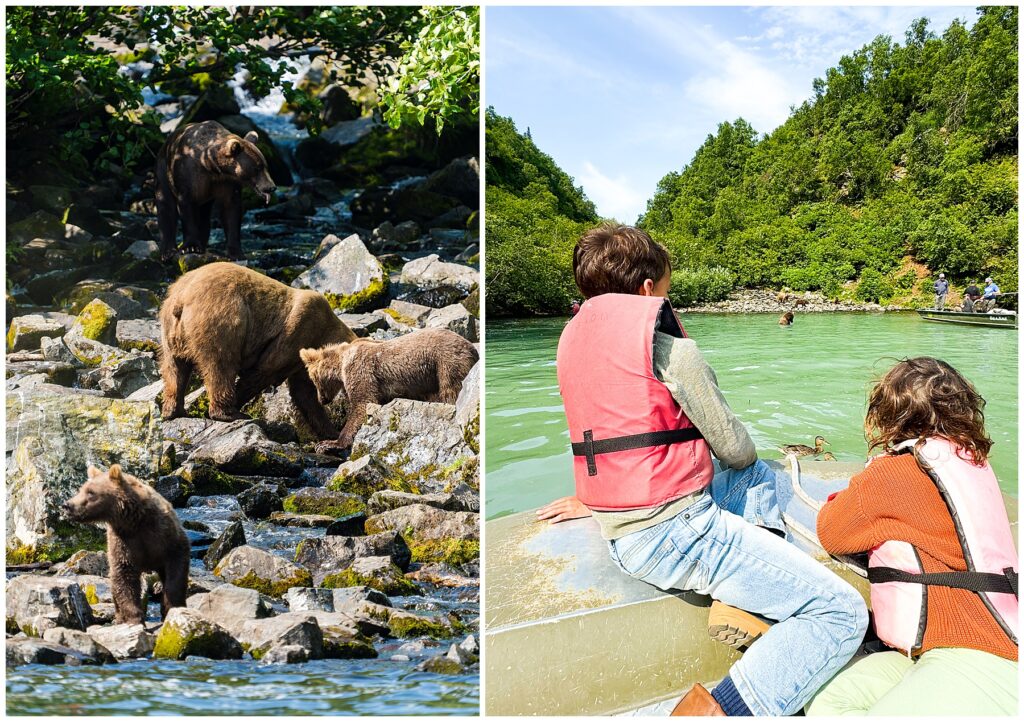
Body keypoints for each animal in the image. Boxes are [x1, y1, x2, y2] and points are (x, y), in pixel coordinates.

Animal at [62, 462, 191, 626]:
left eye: (90, 492)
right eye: (81, 489)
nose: (67, 505)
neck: (133, 520)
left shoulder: (165, 536)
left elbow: (176, 570)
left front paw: (172, 608)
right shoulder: (124, 542)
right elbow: (124, 576)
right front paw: (134, 618)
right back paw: (118, 618)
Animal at [154, 120, 276, 259]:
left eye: (265, 166)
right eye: (257, 168)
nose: (271, 187)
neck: (210, 165)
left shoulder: (226, 183)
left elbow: (231, 210)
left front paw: (237, 252)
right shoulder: (188, 176)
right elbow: (186, 207)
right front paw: (191, 247)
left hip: (205, 199)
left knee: (204, 217)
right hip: (163, 171)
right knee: (166, 205)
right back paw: (168, 251)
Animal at [157, 262, 354, 436]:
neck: (325, 333)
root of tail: (181, 298)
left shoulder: (301, 360)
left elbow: (305, 393)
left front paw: (331, 431)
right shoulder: (297, 331)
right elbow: (264, 371)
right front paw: (239, 400)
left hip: (170, 331)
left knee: (175, 369)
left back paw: (173, 411)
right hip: (221, 319)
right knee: (221, 365)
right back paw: (230, 413)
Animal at [299, 325, 477, 450]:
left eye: (313, 381)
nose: (322, 400)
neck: (341, 363)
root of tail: (472, 347)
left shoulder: (360, 369)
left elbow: (363, 403)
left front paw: (330, 442)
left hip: (446, 363)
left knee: (451, 391)